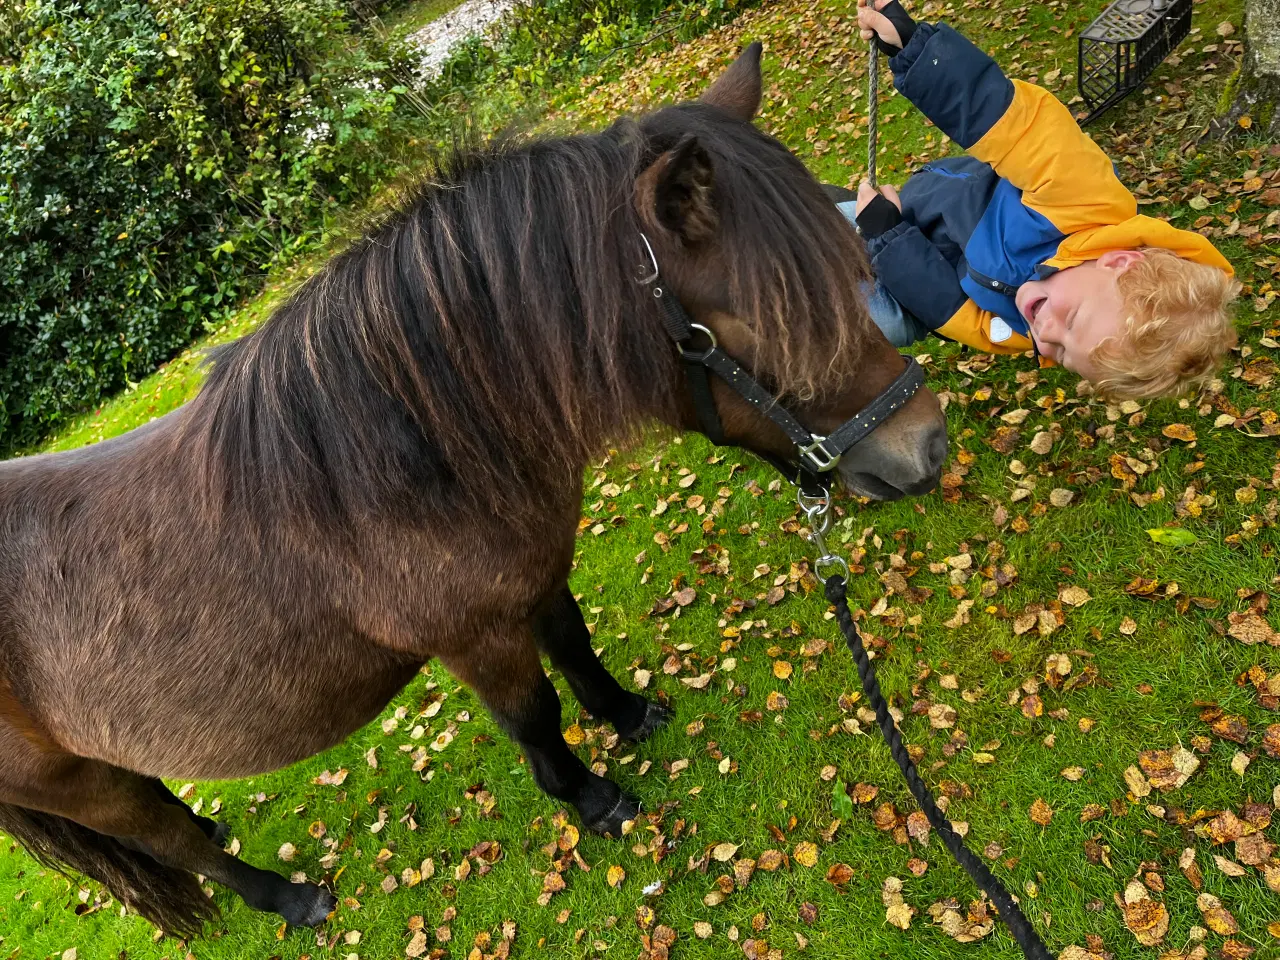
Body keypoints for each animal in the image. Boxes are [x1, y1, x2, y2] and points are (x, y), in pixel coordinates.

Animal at [0, 47, 942, 942]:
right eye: (768, 320)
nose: (924, 450)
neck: (411, 454)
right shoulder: (472, 636)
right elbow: (533, 714)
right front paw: (590, 797)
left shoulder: (534, 573)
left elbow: (574, 646)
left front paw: (628, 715)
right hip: (77, 786)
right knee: (168, 843)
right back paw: (288, 897)